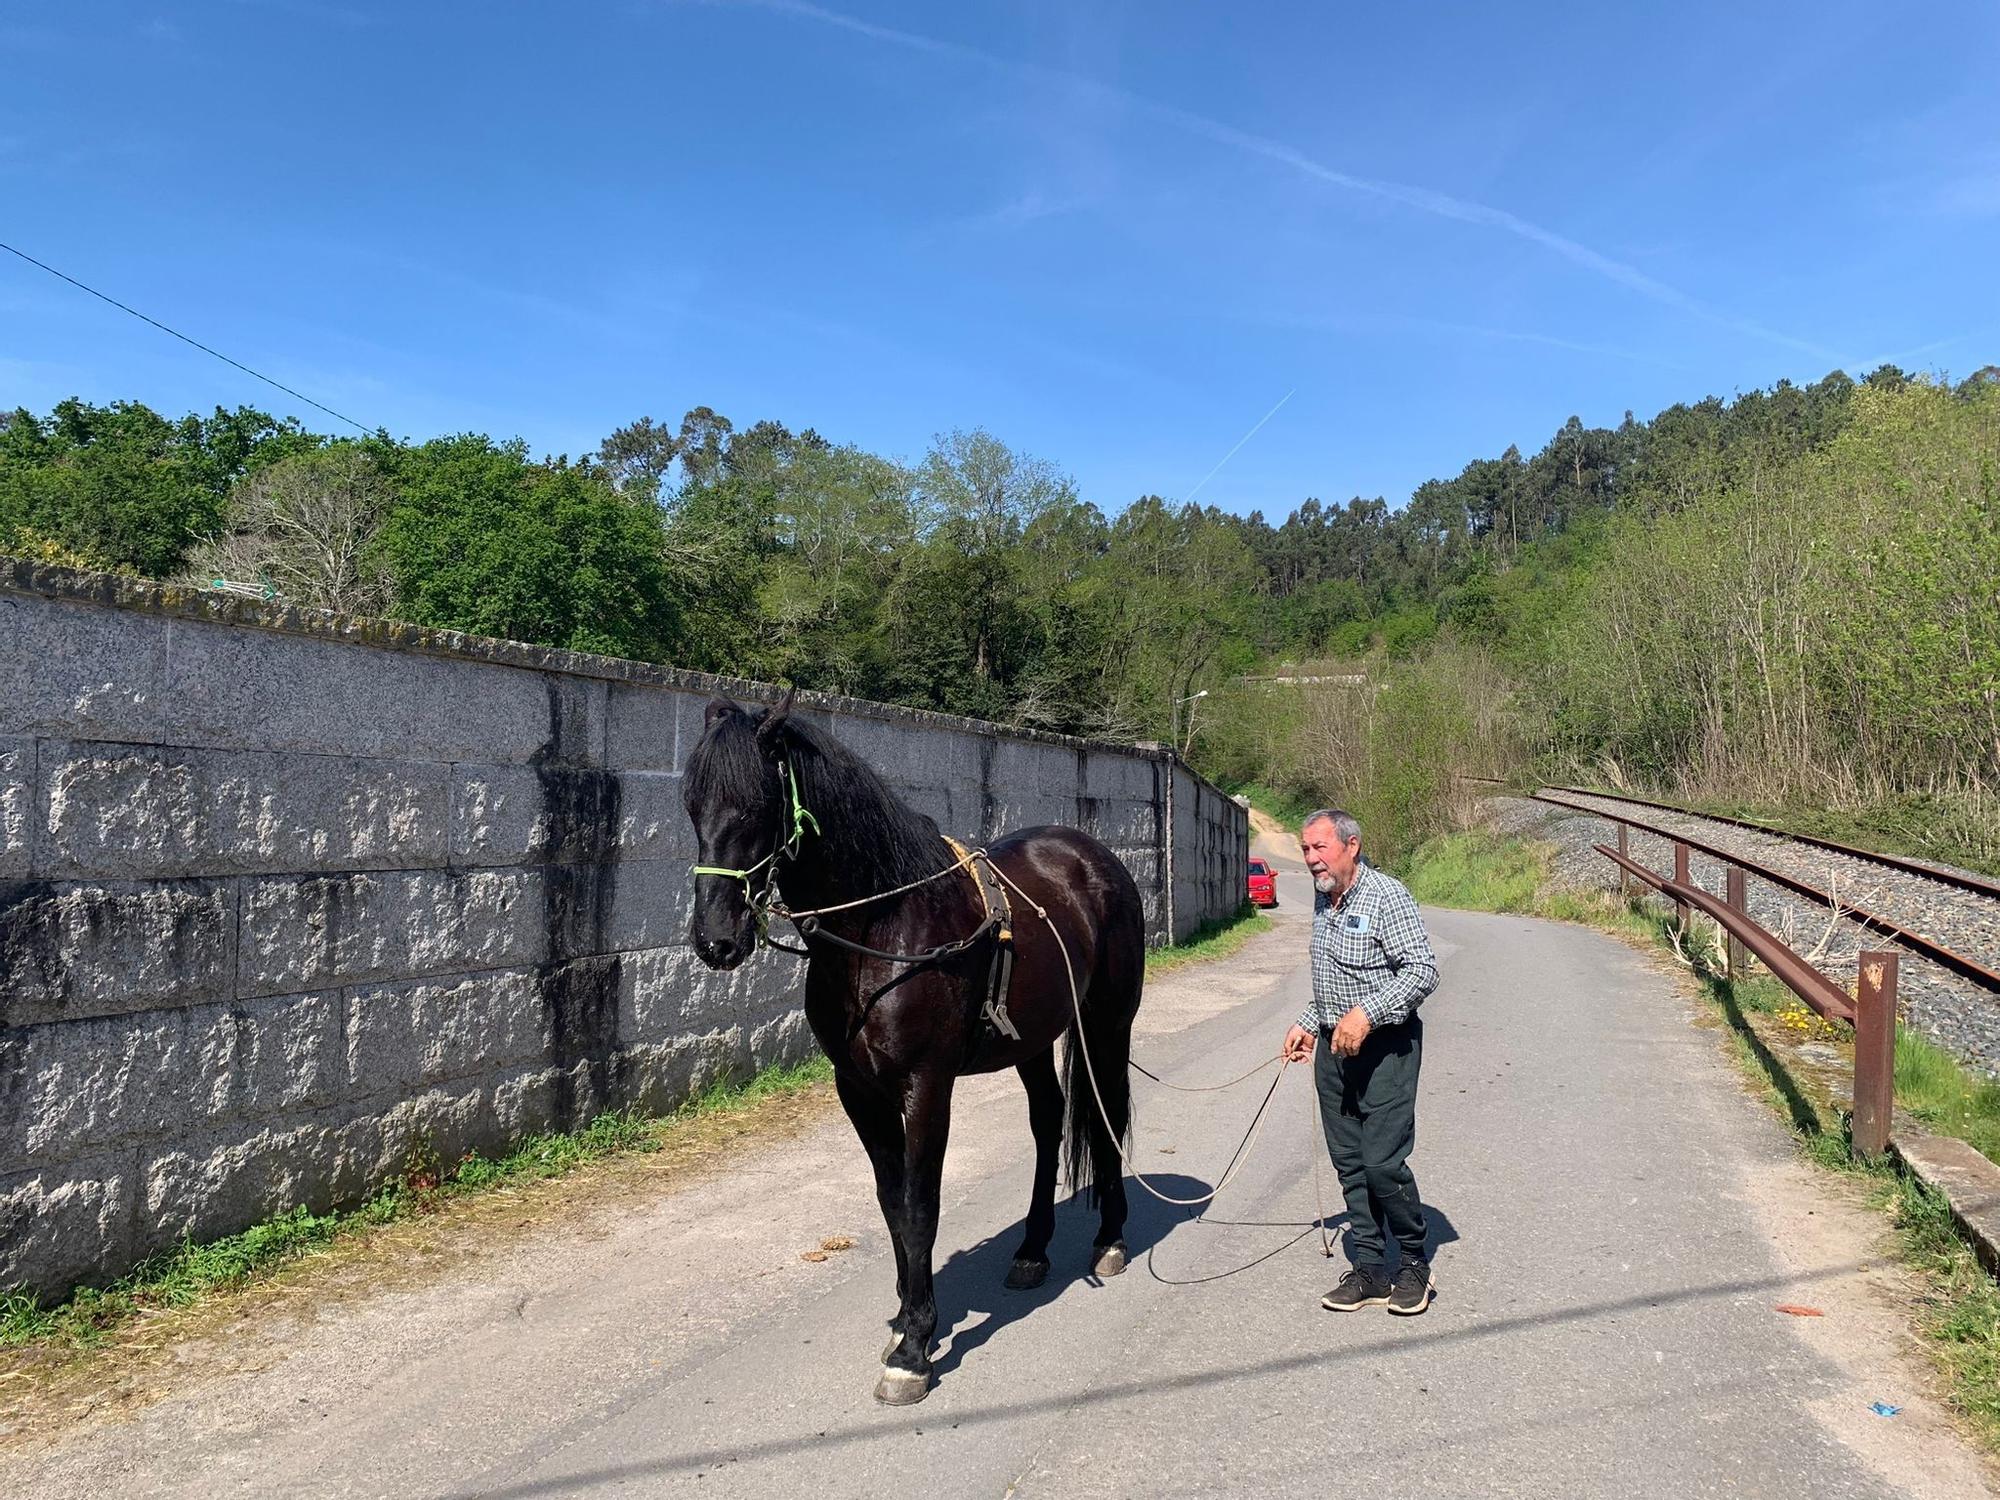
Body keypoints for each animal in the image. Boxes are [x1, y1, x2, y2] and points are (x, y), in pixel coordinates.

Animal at [688, 696, 1152, 1408]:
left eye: (756, 805)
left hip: (1105, 1024)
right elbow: (892, 1203)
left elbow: (921, 1203)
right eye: (692, 805)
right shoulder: (858, 1091)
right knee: (1048, 1121)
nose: (715, 940)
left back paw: (1109, 1239)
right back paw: (1032, 1249)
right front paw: (908, 1319)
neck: (883, 928)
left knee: (1102, 1119)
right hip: (1033, 1040)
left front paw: (914, 1349)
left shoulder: (926, 1087)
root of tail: (1097, 860)